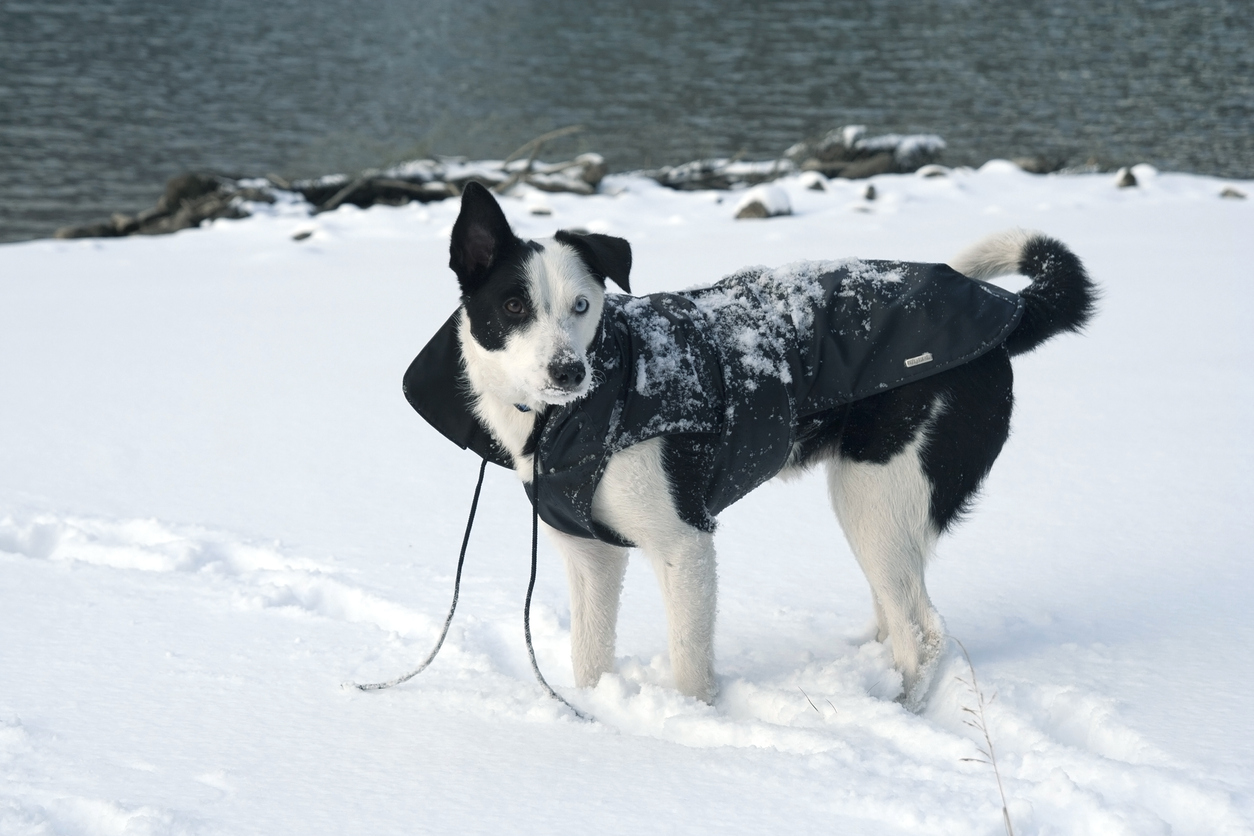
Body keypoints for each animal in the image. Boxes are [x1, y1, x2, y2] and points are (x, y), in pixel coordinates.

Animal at [406, 181, 1093, 706]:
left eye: (582, 305)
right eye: (513, 305)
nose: (569, 372)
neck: (580, 413)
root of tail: (1004, 314)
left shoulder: (685, 545)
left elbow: (689, 664)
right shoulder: (589, 553)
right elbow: (589, 656)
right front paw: (595, 712)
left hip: (874, 493)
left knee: (923, 634)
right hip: (881, 510)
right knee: (898, 611)